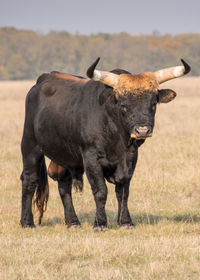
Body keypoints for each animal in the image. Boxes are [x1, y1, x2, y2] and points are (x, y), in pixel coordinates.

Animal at [20, 57, 191, 230]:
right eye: (123, 105)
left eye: (153, 104)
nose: (142, 130)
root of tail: (42, 80)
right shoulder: (91, 158)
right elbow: (100, 191)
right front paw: (100, 223)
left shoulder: (131, 158)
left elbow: (123, 192)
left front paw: (126, 222)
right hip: (30, 146)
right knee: (30, 180)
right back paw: (27, 222)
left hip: (64, 155)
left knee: (63, 183)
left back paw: (73, 222)